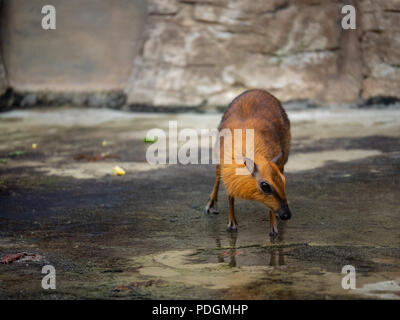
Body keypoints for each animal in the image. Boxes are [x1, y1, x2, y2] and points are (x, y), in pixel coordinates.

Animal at [206, 89, 290, 238]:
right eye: (265, 186)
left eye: (284, 181)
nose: (287, 214)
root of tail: (257, 90)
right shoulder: (227, 172)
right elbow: (230, 195)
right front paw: (232, 224)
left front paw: (273, 228)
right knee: (217, 171)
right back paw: (211, 205)